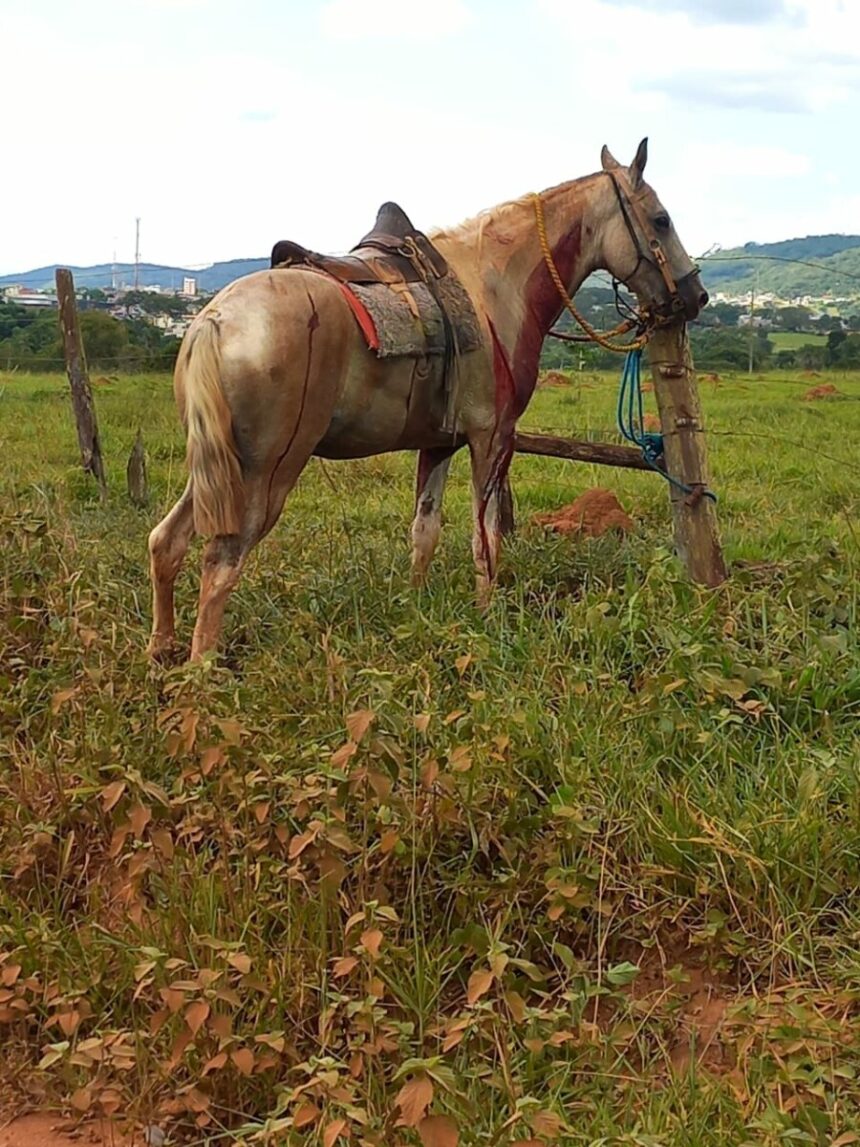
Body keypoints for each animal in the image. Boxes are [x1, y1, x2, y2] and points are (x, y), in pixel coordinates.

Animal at [147, 139, 708, 661]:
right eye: (661, 220)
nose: (695, 297)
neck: (493, 288)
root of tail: (215, 319)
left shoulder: (438, 443)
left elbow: (425, 532)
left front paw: (414, 608)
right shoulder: (492, 439)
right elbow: (486, 540)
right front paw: (486, 614)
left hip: (218, 470)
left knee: (165, 541)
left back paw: (162, 649)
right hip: (267, 471)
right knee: (221, 563)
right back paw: (202, 671)